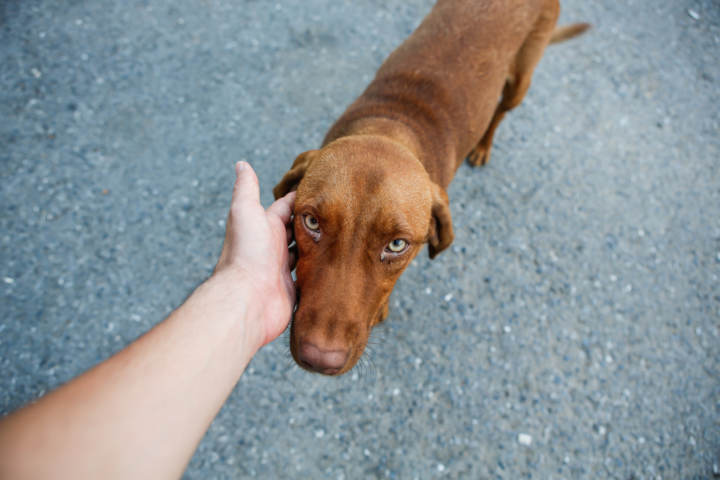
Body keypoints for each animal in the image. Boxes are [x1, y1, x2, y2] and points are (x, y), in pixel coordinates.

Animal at [272, 0, 588, 376]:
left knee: (500, 111)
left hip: (520, 81)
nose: (320, 358)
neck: (390, 127)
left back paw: (483, 146)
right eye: (311, 222)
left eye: (397, 245)